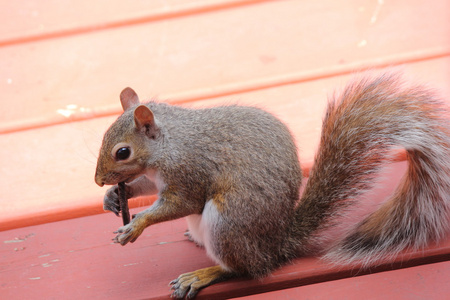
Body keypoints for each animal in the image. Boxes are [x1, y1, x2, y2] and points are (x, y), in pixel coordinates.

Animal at [94, 73, 450, 300]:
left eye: (122, 152)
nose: (98, 179)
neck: (167, 145)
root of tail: (278, 244)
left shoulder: (188, 171)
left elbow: (181, 203)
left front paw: (136, 225)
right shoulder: (155, 176)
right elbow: (142, 186)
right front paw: (114, 197)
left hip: (228, 222)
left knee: (244, 268)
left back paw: (204, 274)